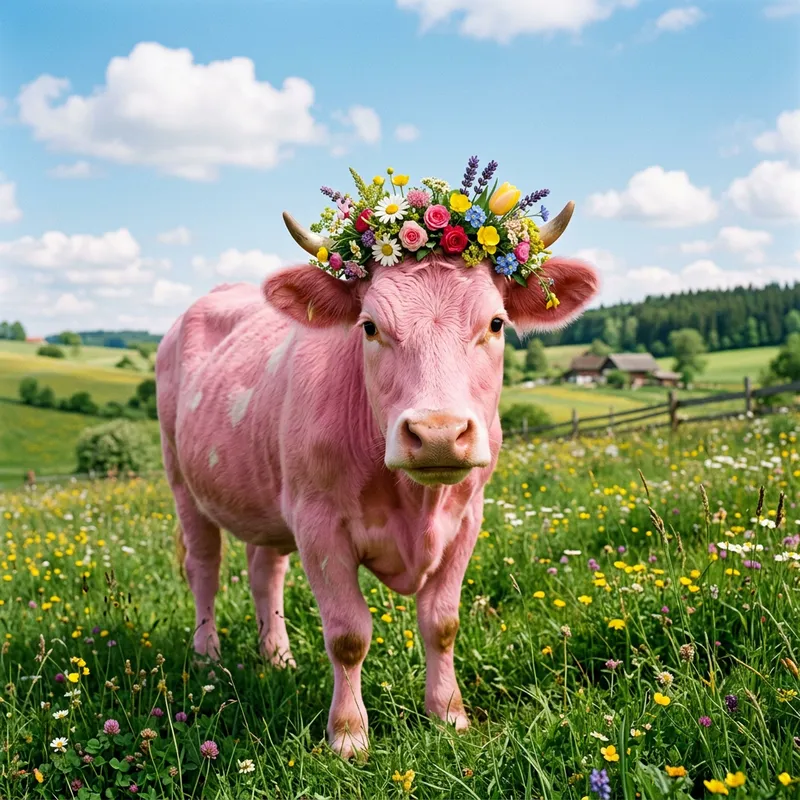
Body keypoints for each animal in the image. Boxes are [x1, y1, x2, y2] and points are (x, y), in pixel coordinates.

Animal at [155, 203, 598, 758]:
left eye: (496, 323)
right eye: (369, 327)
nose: (438, 433)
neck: (416, 503)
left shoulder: (467, 519)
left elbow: (443, 623)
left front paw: (449, 715)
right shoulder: (319, 523)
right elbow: (348, 634)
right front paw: (348, 735)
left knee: (264, 572)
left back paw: (277, 657)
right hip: (182, 481)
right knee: (204, 569)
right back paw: (207, 658)